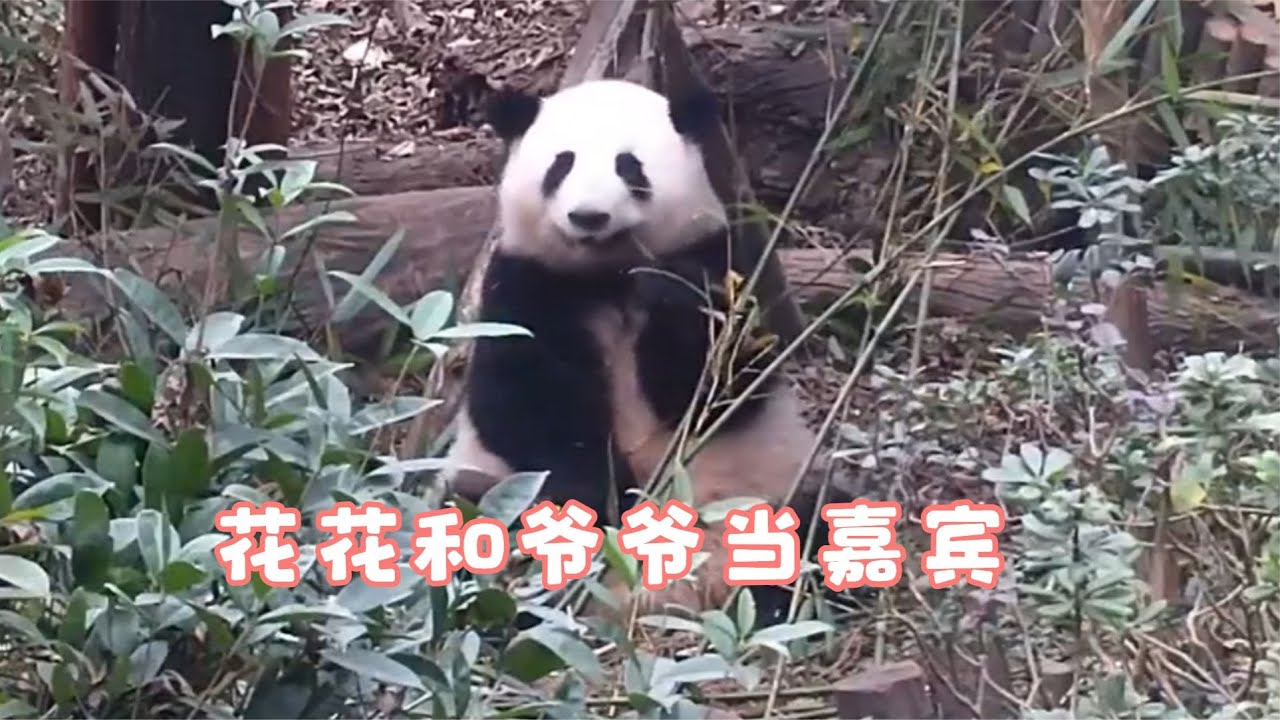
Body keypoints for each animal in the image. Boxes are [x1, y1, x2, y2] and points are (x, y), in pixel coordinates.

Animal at [440, 78, 841, 628]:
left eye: (629, 166)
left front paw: (669, 298)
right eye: (561, 164)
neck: (608, 276)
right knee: (468, 526)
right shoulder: (525, 284)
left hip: (764, 491)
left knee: (820, 525)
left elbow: (728, 380)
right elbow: (521, 398)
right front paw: (598, 496)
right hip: (491, 491)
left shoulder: (721, 264)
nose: (589, 216)